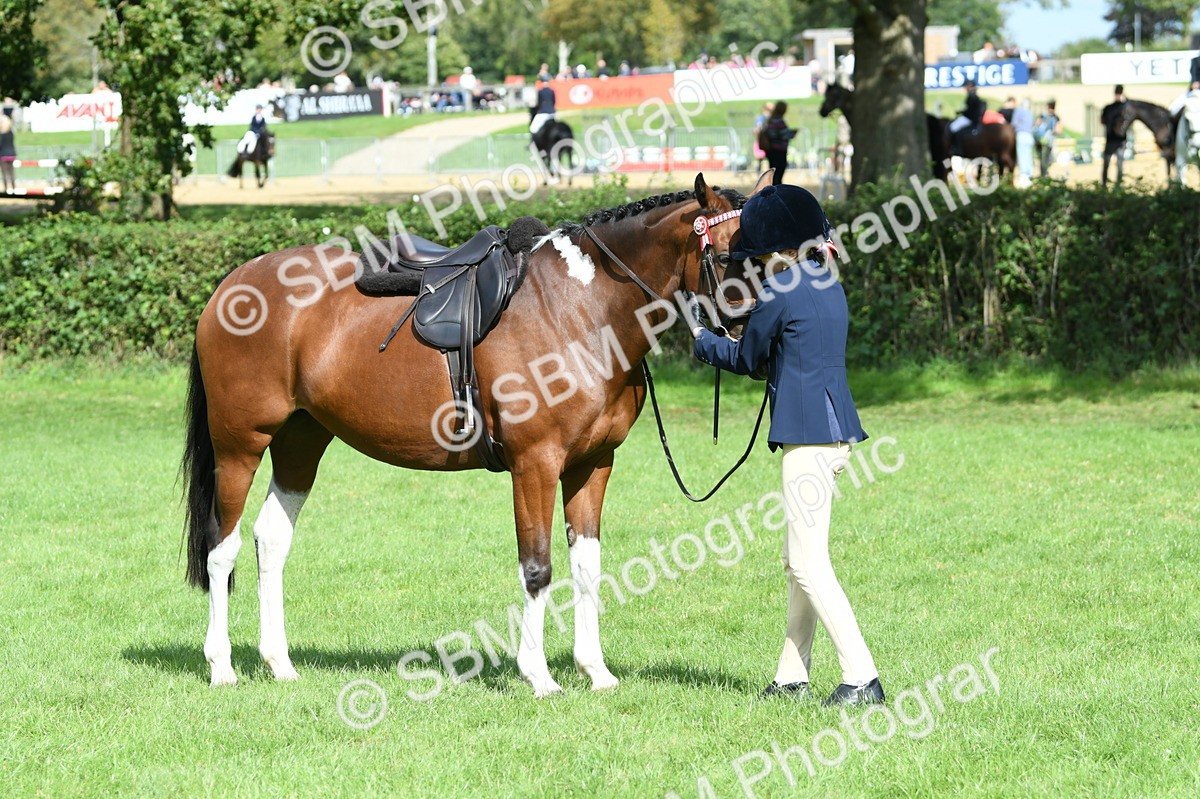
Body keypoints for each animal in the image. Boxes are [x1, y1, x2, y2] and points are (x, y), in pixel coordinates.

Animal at [180, 170, 772, 696]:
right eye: (726, 256)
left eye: (769, 256)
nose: (758, 341)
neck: (580, 308)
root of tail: (230, 285)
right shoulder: (536, 464)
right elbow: (537, 568)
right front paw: (539, 677)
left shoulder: (592, 464)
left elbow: (587, 567)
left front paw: (596, 672)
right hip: (240, 446)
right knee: (222, 550)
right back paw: (222, 666)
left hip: (301, 442)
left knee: (271, 539)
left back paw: (279, 664)